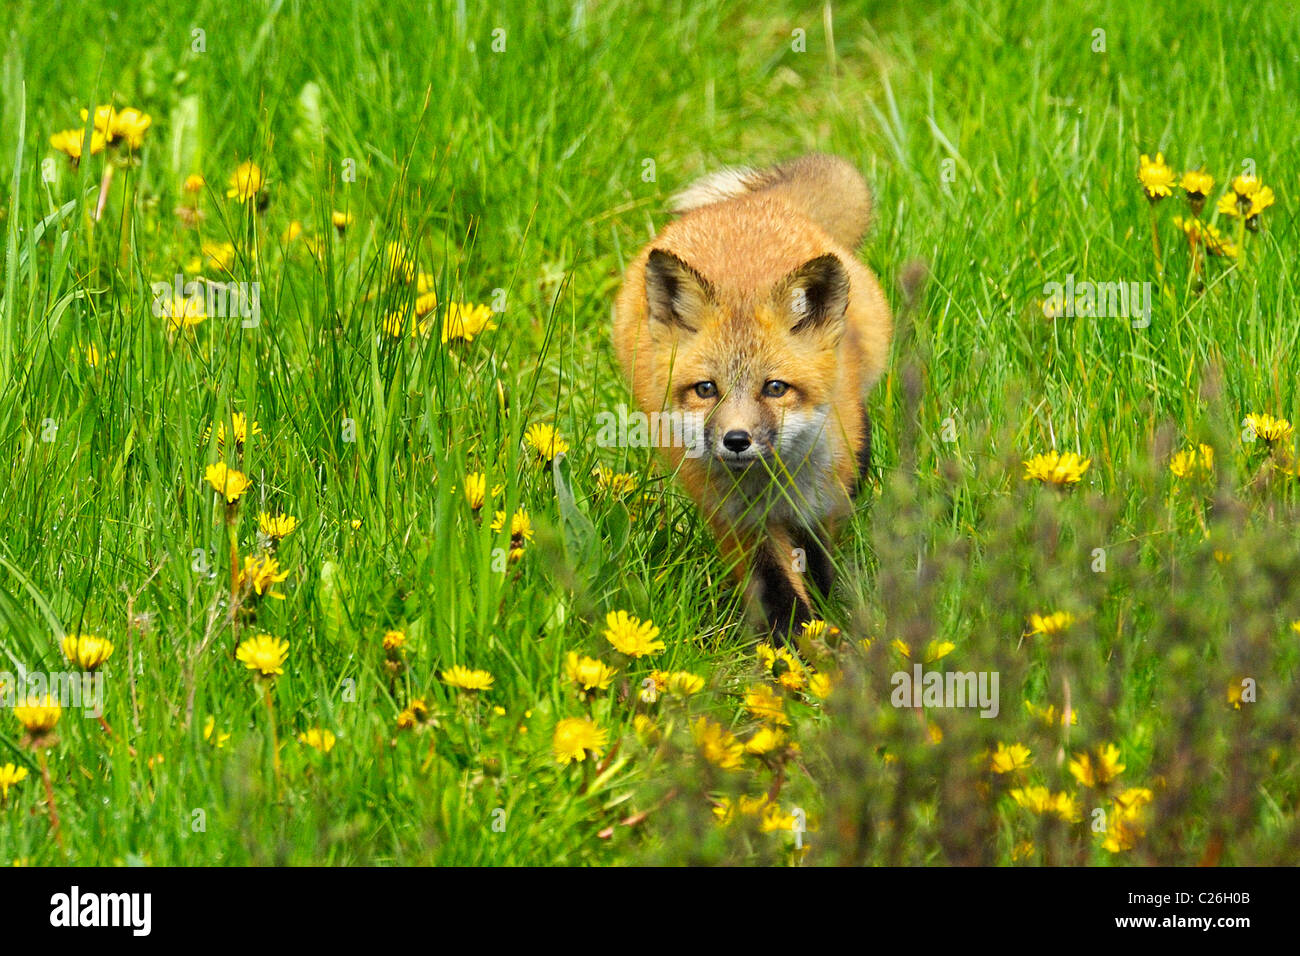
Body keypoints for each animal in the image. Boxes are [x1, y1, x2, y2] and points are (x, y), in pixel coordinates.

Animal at [611, 153, 894, 639]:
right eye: (706, 389)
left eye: (775, 388)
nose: (737, 440)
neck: (773, 483)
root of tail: (748, 207)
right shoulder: (738, 523)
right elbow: (777, 594)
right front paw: (795, 648)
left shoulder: (822, 506)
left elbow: (818, 565)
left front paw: (827, 626)